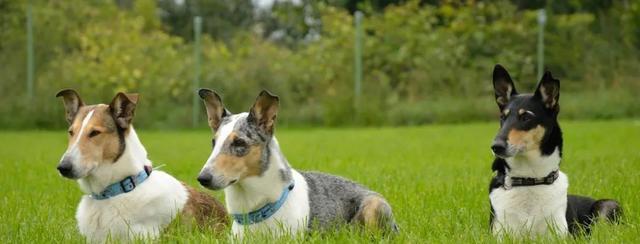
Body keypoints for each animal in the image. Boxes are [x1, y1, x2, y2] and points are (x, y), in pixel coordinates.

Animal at [488, 63, 624, 237]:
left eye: (526, 117)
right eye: (502, 118)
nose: (496, 146)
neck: (530, 180)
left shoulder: (559, 235)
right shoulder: (500, 234)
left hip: (607, 205)